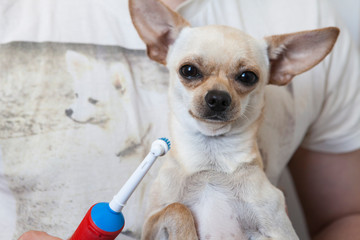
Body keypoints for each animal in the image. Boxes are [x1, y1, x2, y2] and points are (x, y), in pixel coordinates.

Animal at [130, 0, 340, 238]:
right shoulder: (149, 224)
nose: (218, 98)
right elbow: (177, 207)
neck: (211, 163)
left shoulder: (279, 230)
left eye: (247, 77)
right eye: (188, 70)